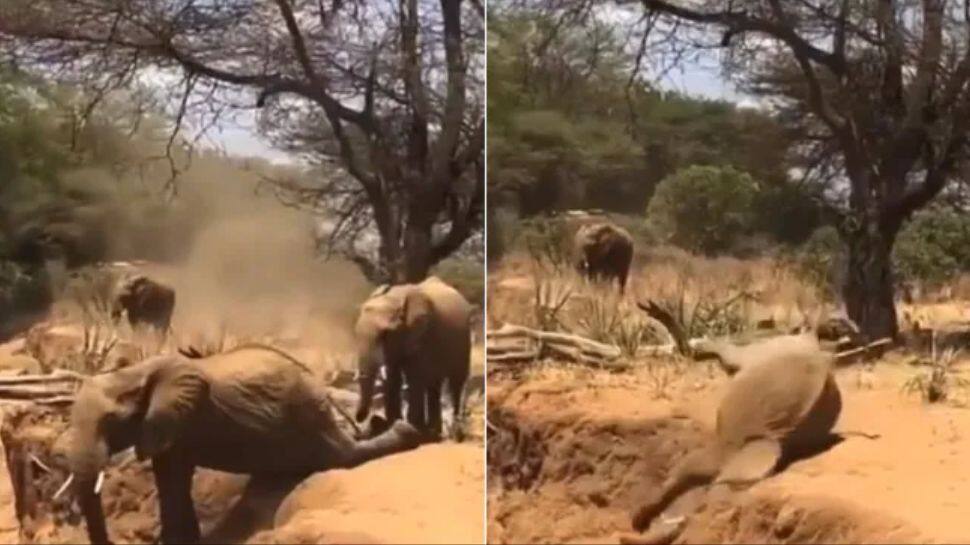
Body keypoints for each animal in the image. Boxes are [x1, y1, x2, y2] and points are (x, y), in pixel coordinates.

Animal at [61, 343, 424, 544]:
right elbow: (169, 479)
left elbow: (175, 479)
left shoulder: (179, 418)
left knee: (341, 455)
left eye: (110, 422)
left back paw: (404, 430)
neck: (134, 373)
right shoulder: (169, 428)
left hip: (305, 411)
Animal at [354, 275, 472, 439]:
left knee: (456, 382)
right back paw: (435, 432)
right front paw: (392, 425)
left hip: (464, 341)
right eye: (356, 332)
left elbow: (414, 377)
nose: (358, 419)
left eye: (385, 334)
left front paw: (413, 429)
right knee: (434, 385)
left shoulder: (422, 335)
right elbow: (393, 379)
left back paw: (454, 432)